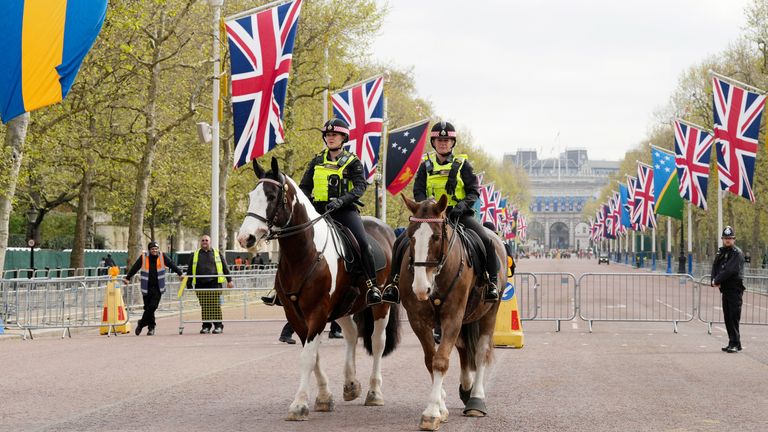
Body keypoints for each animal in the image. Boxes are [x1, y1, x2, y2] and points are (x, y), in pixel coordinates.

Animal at [237, 157, 400, 420]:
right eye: (252, 195)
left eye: (271, 196)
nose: (245, 238)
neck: (303, 254)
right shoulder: (295, 314)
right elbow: (312, 356)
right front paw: (323, 397)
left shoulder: (317, 311)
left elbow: (308, 357)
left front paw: (299, 404)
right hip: (343, 306)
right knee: (352, 334)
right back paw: (351, 384)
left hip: (380, 305)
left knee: (377, 341)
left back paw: (374, 392)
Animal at [396, 196, 504, 432]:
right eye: (410, 236)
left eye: (436, 237)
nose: (421, 288)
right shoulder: (418, 320)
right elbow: (431, 360)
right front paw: (440, 406)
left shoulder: (453, 316)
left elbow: (441, 361)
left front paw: (431, 412)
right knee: (463, 348)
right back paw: (466, 389)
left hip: (490, 311)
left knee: (480, 351)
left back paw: (476, 399)